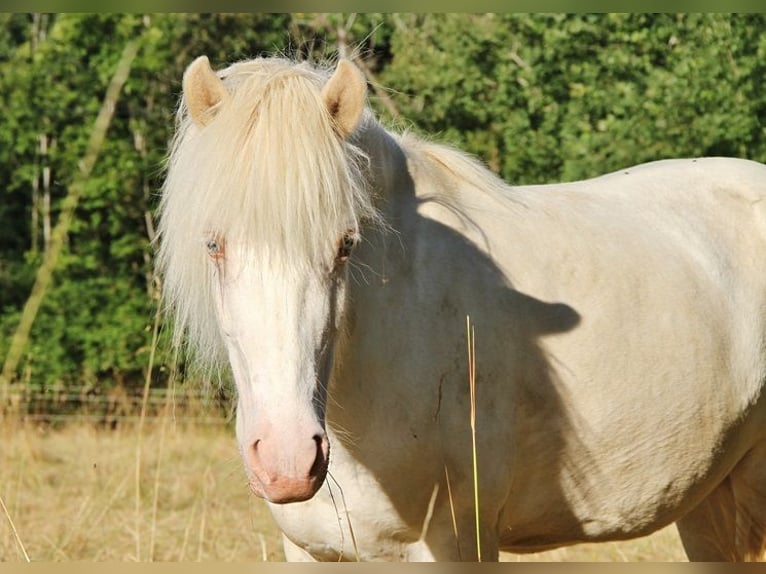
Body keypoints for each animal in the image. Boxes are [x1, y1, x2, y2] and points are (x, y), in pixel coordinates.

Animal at [156, 55, 766, 564]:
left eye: (346, 245)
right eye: (213, 245)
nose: (288, 461)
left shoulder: (456, 544)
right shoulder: (311, 552)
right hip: (710, 502)